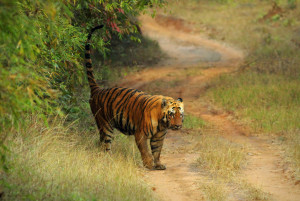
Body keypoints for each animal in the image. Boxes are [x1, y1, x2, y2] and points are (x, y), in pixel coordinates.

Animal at [83, 25, 184, 170]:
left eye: (180, 115)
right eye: (171, 114)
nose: (178, 126)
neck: (163, 122)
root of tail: (98, 89)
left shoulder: (159, 137)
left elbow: (157, 151)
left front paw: (158, 164)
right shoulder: (140, 133)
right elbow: (145, 150)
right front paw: (149, 164)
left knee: (101, 141)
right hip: (106, 124)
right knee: (106, 143)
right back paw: (109, 159)